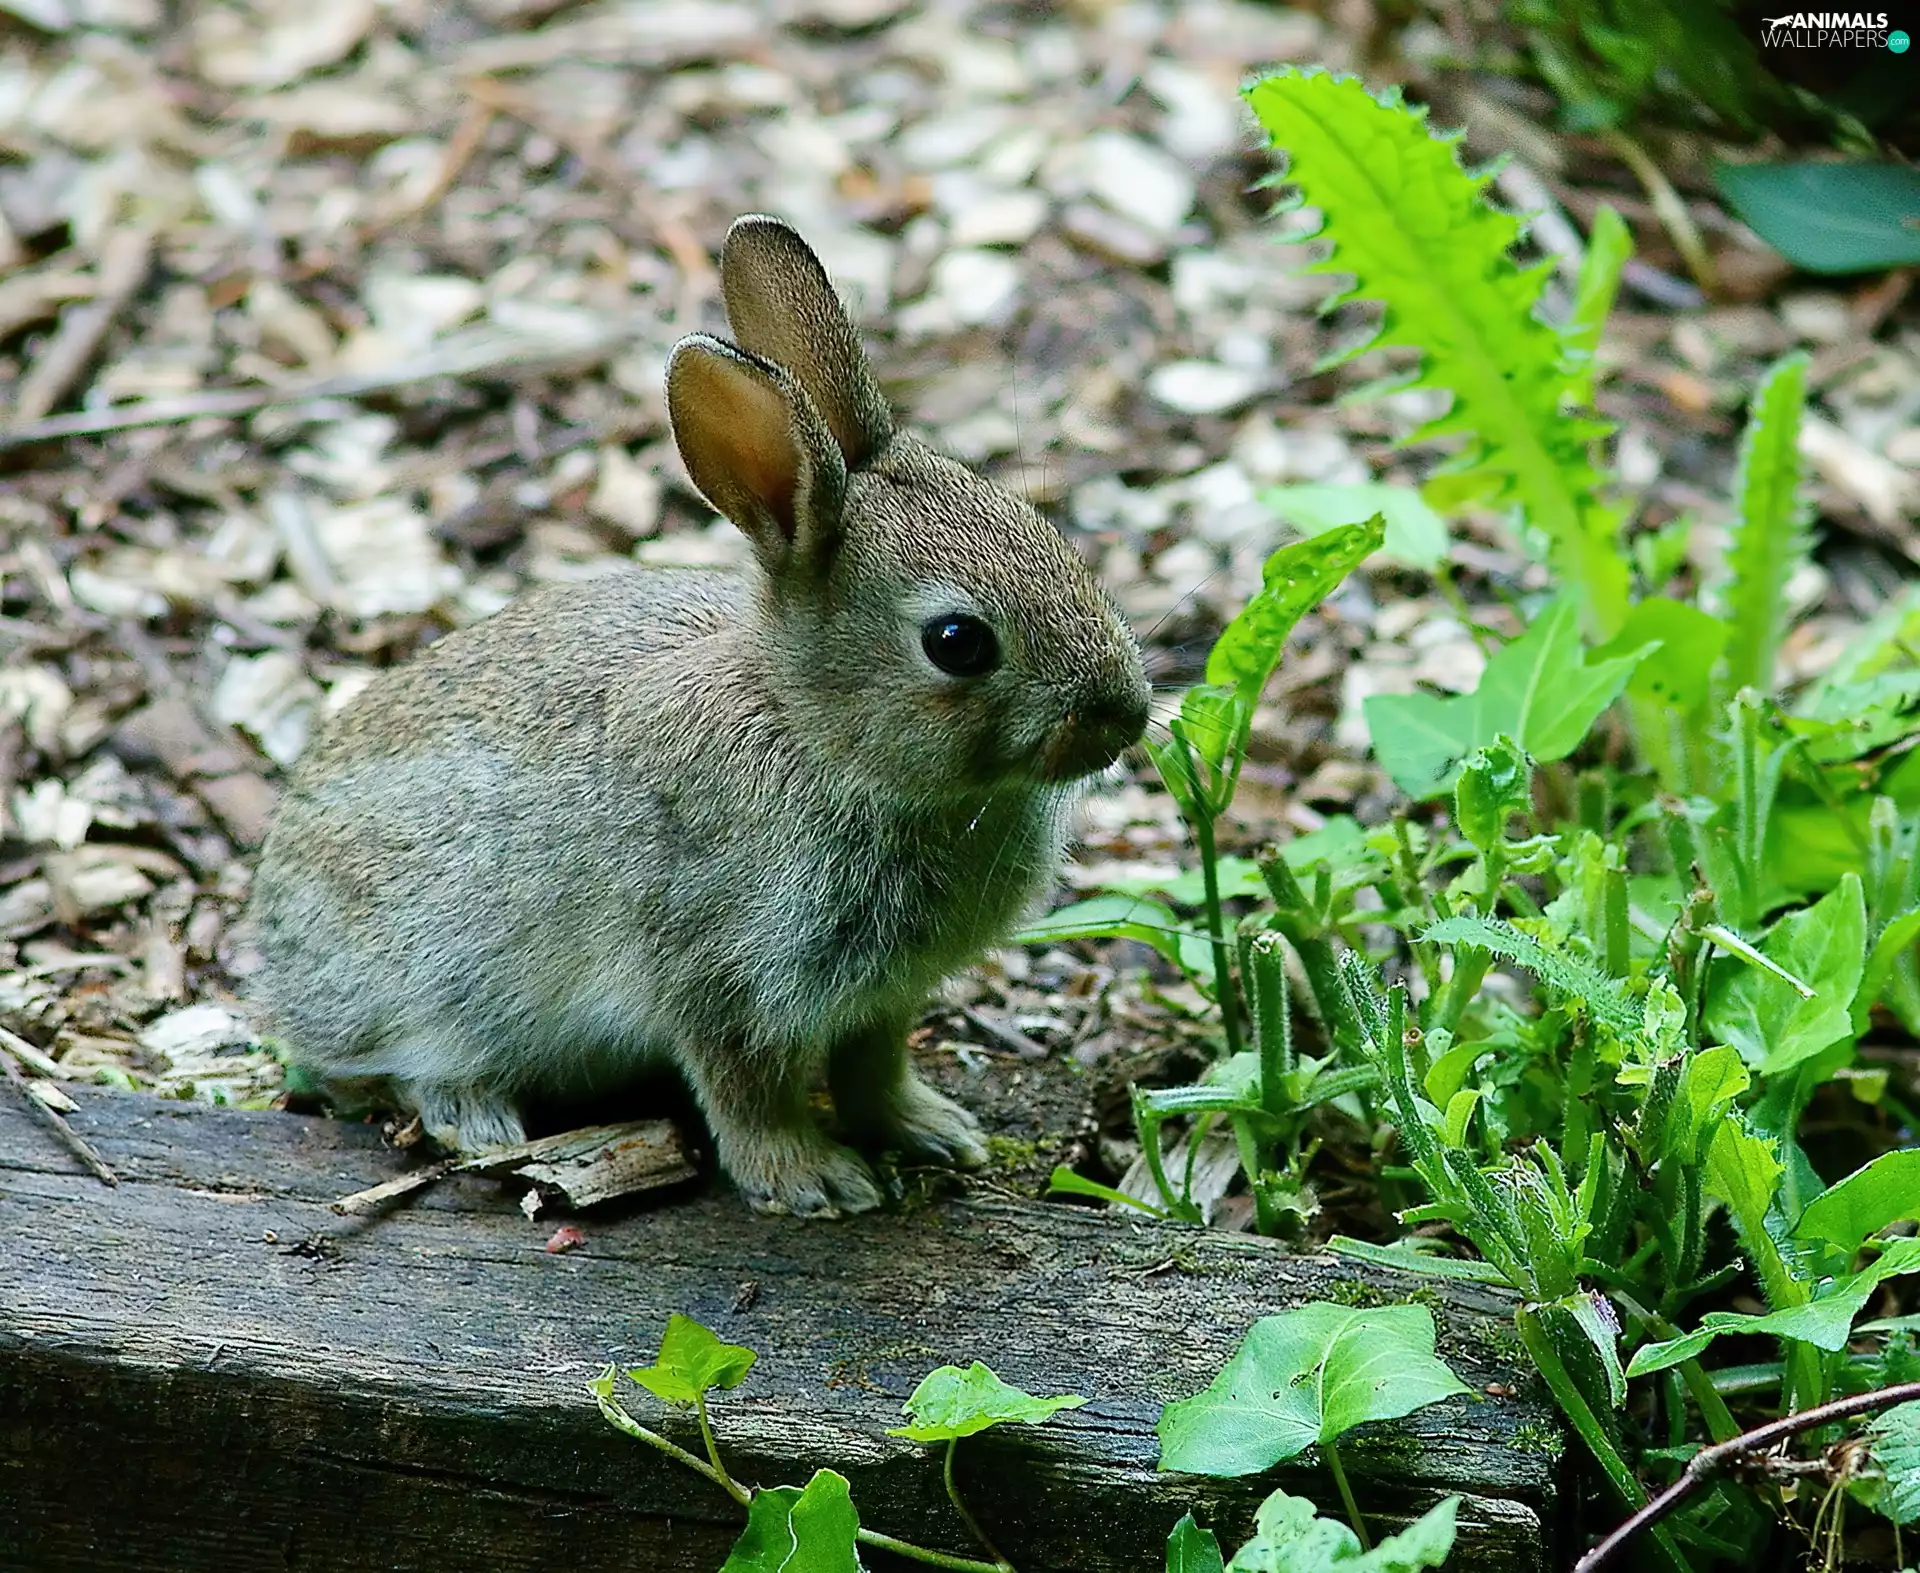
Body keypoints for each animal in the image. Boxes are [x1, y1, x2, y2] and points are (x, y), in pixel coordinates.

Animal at [244, 214, 1151, 1218]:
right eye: (957, 641)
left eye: (1051, 535)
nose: (1127, 715)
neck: (818, 735)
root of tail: (272, 937)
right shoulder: (721, 976)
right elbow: (745, 1088)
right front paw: (813, 1179)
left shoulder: (879, 1000)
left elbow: (874, 1070)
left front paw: (934, 1130)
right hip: (432, 978)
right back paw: (482, 1123)